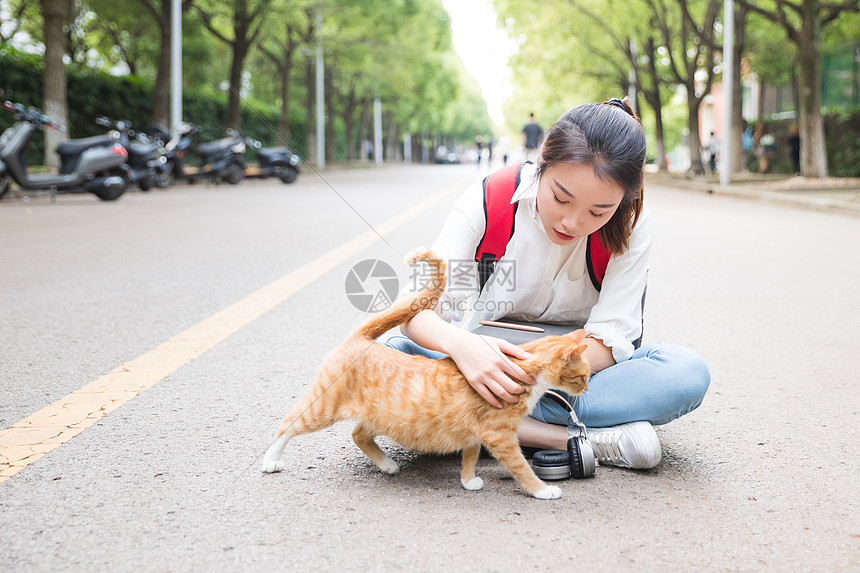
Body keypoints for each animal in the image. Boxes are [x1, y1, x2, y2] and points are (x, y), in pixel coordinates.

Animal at [264, 248, 592, 498]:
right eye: (582, 377)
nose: (586, 390)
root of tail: (361, 339)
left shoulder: (475, 433)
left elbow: (470, 456)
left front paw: (468, 481)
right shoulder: (500, 436)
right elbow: (521, 467)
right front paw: (542, 490)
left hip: (384, 417)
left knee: (358, 434)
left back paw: (387, 465)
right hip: (322, 407)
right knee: (288, 425)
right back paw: (271, 460)